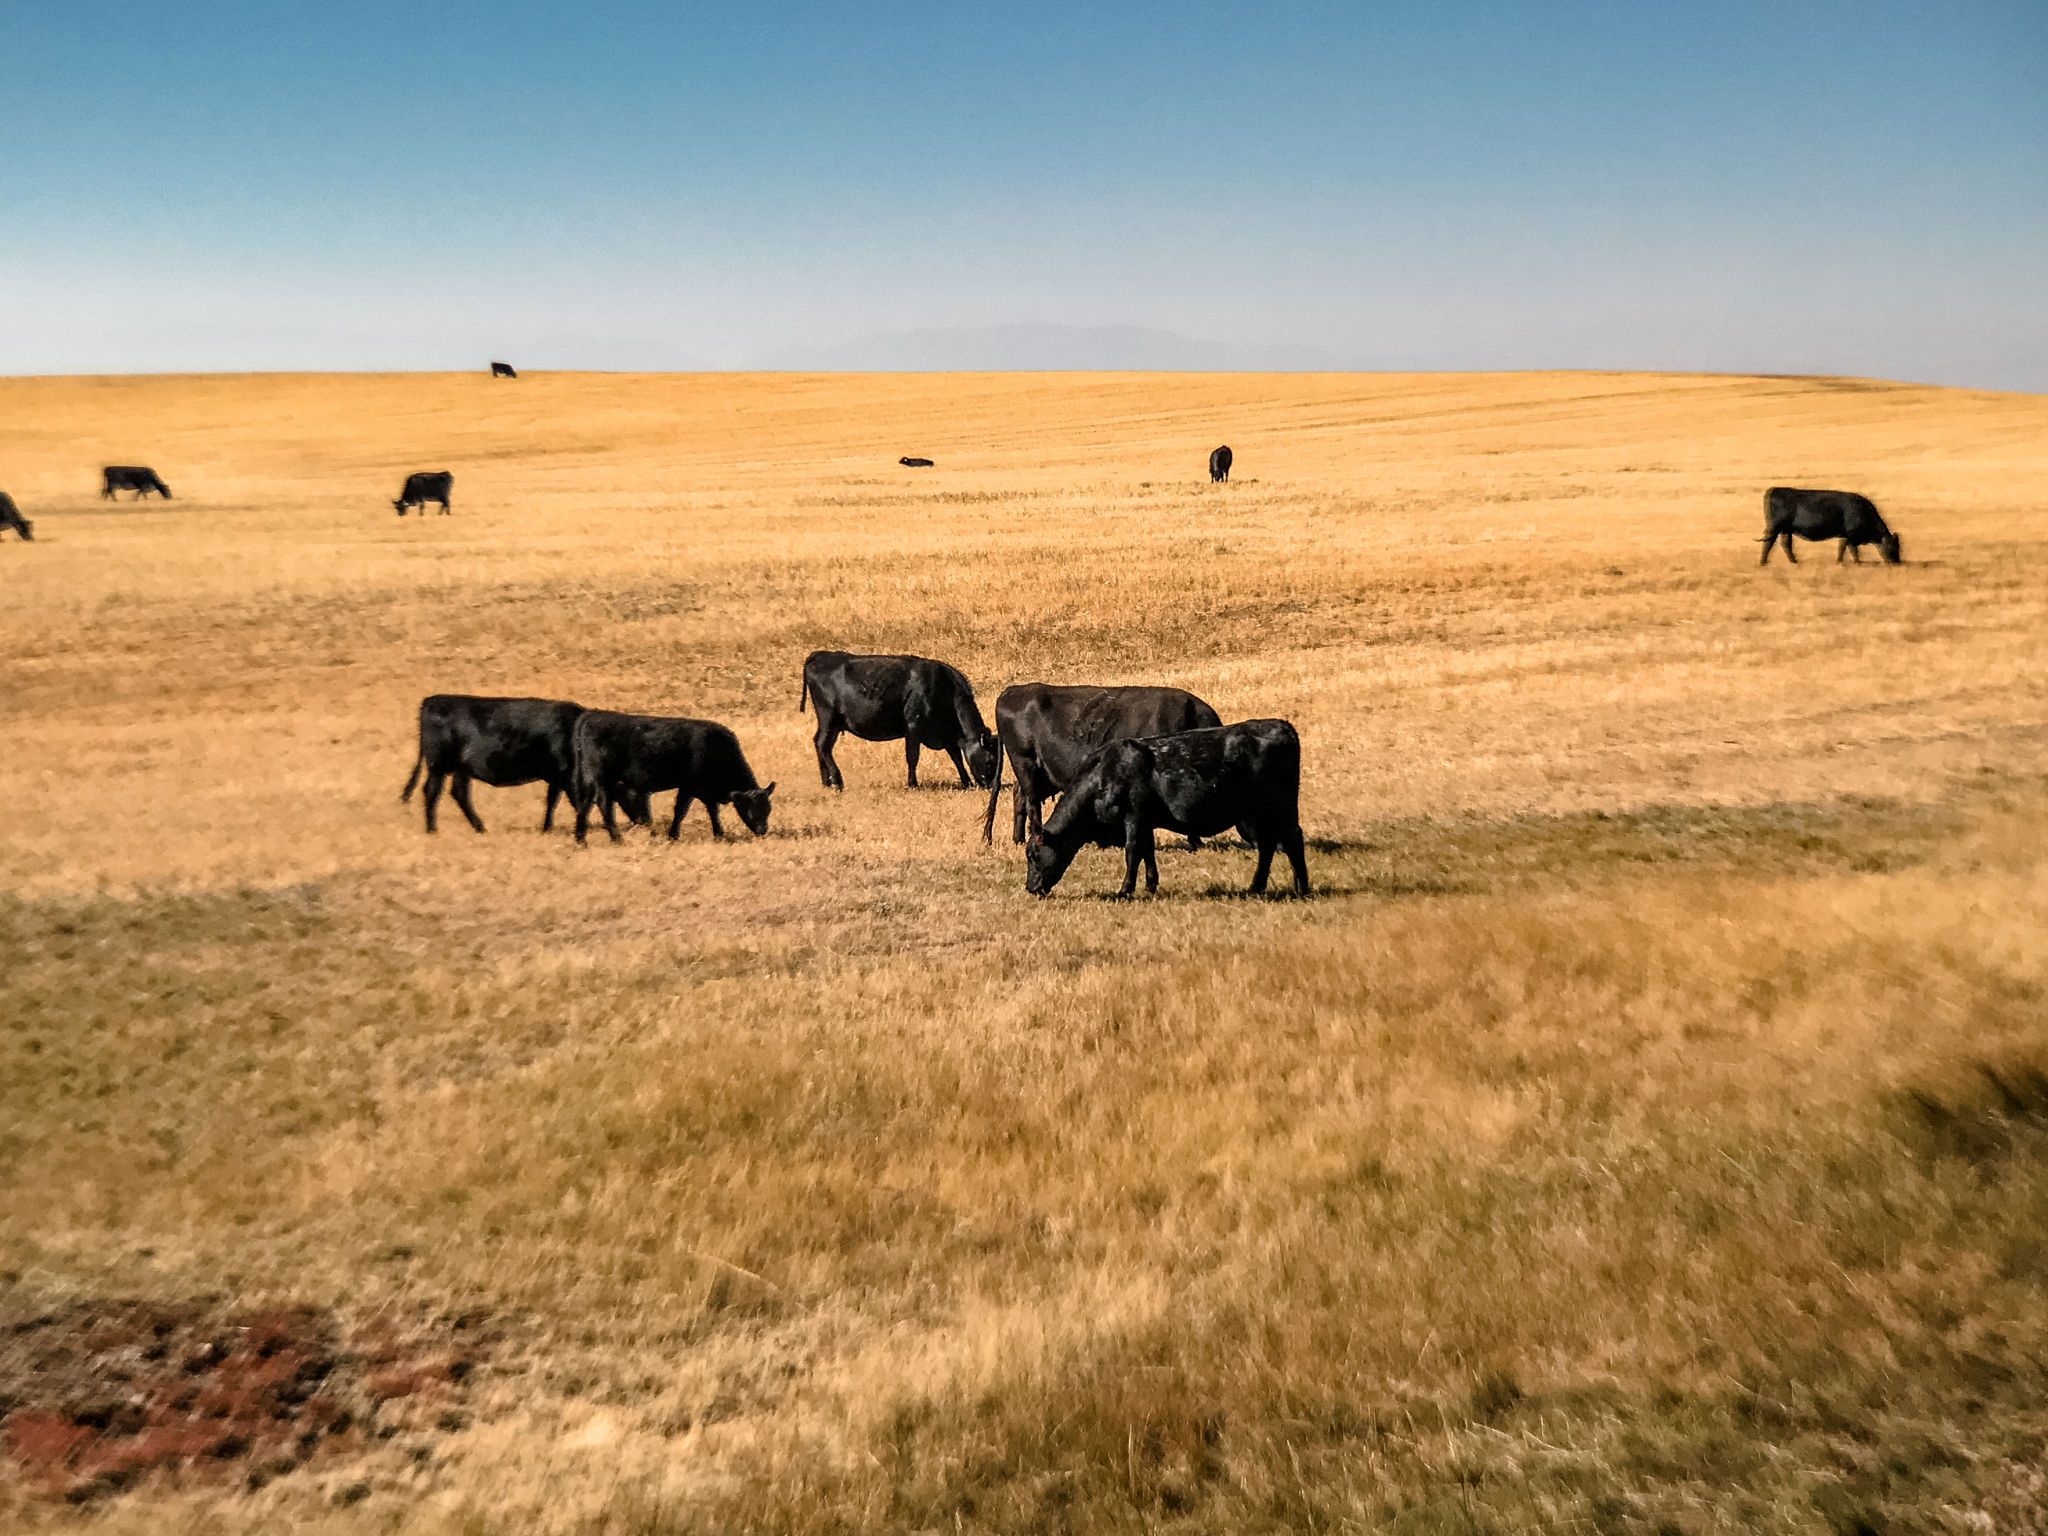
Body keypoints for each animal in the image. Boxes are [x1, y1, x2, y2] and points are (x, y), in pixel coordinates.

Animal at [400, 694, 646, 834]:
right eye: (631, 789)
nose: (643, 819)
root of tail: (431, 701)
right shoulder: (565, 773)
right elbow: (568, 800)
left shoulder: (558, 776)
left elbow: (552, 800)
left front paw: (547, 828)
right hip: (439, 765)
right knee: (432, 791)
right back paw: (432, 829)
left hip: (460, 768)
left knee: (459, 793)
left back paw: (480, 828)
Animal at [571, 710, 775, 845]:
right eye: (750, 809)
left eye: (768, 809)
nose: (762, 830)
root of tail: (591, 716)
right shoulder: (688, 786)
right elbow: (680, 811)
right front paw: (673, 836)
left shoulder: (706, 791)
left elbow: (713, 811)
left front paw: (719, 834)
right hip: (601, 778)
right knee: (604, 804)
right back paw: (616, 838)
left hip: (593, 781)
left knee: (586, 804)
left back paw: (581, 839)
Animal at [799, 651, 999, 791]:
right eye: (991, 760)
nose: (990, 785)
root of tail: (821, 655)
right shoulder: (913, 727)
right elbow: (913, 757)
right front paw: (913, 784)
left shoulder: (947, 734)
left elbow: (956, 757)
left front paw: (967, 782)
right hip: (828, 718)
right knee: (823, 745)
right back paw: (837, 781)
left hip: (833, 724)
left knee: (821, 744)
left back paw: (826, 782)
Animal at [1026, 719, 1309, 900]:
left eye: (1034, 855)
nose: (1030, 887)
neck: (1103, 776)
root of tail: (1282, 725)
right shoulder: (1146, 822)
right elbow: (1147, 851)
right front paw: (1151, 886)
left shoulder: (1134, 818)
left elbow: (1132, 853)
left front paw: (1124, 891)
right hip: (1258, 813)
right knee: (1269, 844)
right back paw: (1258, 887)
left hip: (1277, 807)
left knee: (1292, 839)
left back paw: (1301, 888)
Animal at [1759, 487, 1902, 565]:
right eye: (1892, 547)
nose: (1897, 563)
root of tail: (1774, 489)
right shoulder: (1852, 535)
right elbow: (1853, 549)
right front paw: (1857, 562)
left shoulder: (1844, 535)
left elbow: (1842, 547)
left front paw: (1839, 561)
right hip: (1774, 527)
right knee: (1768, 543)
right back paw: (1763, 562)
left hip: (1785, 529)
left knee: (1785, 544)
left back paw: (1794, 562)